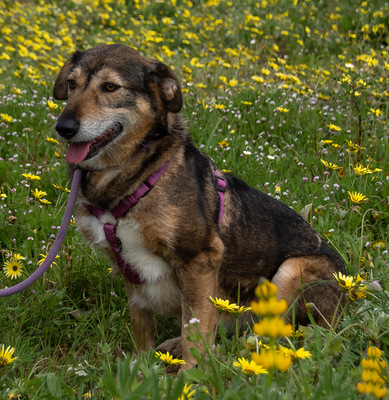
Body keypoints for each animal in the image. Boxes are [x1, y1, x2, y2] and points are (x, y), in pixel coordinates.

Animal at [53, 44, 346, 368]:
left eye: (109, 87)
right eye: (71, 84)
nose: (63, 127)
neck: (138, 174)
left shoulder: (199, 260)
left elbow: (193, 330)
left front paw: (189, 374)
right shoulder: (131, 272)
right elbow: (143, 325)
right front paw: (142, 366)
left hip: (290, 272)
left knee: (264, 336)